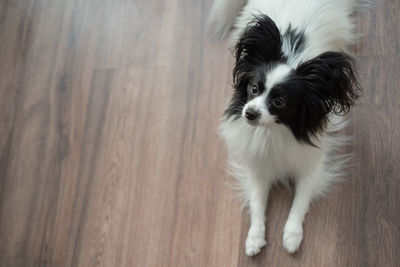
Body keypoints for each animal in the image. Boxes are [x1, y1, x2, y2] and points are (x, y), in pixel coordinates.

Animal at [209, 0, 362, 256]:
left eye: (279, 102)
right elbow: (257, 203)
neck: (274, 131)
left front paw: (292, 236)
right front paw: (254, 238)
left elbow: (299, 201)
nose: (249, 113)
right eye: (253, 89)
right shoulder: (257, 169)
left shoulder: (311, 167)